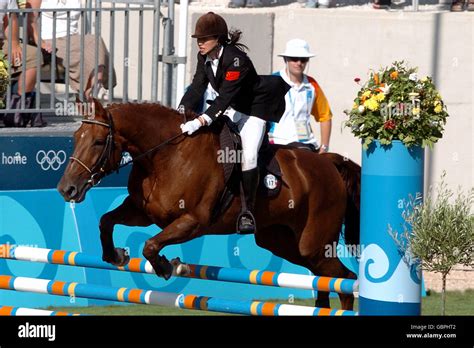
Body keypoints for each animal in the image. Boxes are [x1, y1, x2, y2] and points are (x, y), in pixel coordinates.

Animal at [56, 100, 360, 310]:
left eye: (98, 142)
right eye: (74, 138)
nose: (66, 189)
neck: (166, 155)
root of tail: (328, 161)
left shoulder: (193, 222)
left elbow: (150, 245)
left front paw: (168, 267)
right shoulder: (143, 212)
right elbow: (105, 221)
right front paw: (115, 256)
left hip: (314, 244)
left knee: (345, 281)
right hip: (284, 242)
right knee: (323, 280)